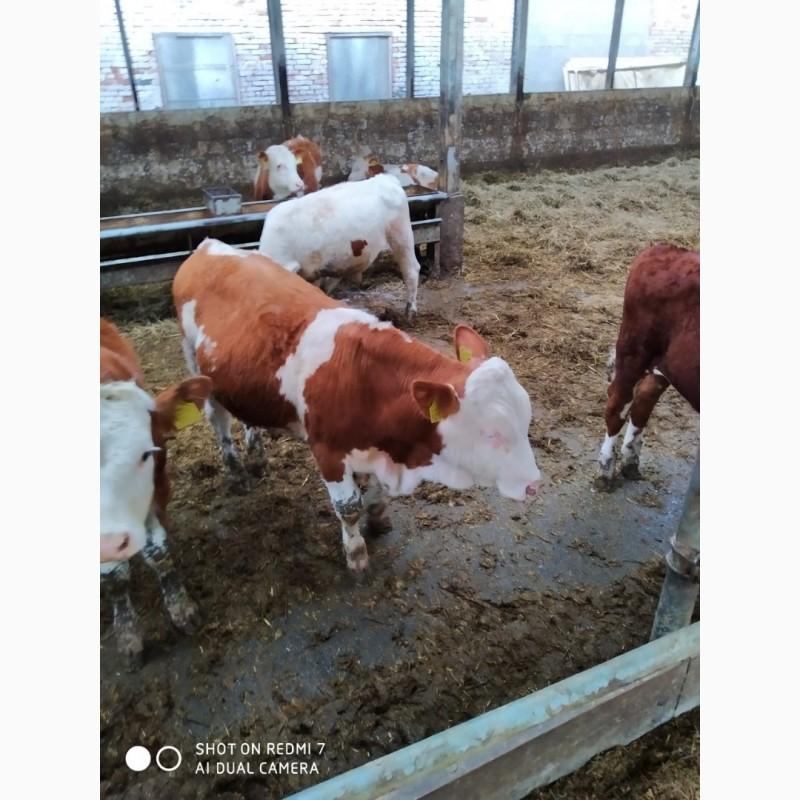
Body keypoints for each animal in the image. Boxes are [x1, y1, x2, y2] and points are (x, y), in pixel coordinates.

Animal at [101, 319, 212, 667]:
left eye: (146, 454)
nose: (109, 542)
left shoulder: (157, 486)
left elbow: (159, 553)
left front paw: (183, 610)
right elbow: (113, 577)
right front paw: (127, 636)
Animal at [173, 239, 542, 573]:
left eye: (526, 421)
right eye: (492, 433)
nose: (534, 485)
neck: (365, 378)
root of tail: (209, 245)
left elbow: (376, 493)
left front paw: (378, 518)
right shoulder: (327, 451)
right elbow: (348, 506)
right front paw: (356, 554)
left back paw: (258, 455)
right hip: (196, 367)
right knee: (218, 419)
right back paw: (235, 470)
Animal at [597, 244, 699, 488]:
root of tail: (668, 248)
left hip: (667, 362)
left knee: (644, 396)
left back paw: (630, 460)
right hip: (634, 348)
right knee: (618, 404)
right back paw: (606, 470)